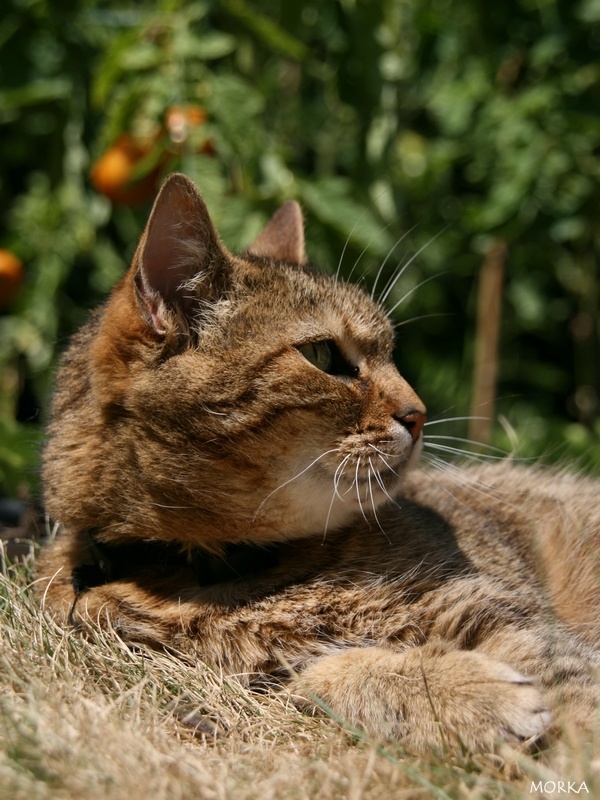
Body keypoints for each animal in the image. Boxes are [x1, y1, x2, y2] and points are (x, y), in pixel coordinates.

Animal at [37, 173, 600, 756]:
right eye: (324, 357)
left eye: (391, 352)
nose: (419, 413)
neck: (233, 574)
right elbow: (325, 677)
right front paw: (468, 692)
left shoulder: (508, 617)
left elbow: (576, 699)